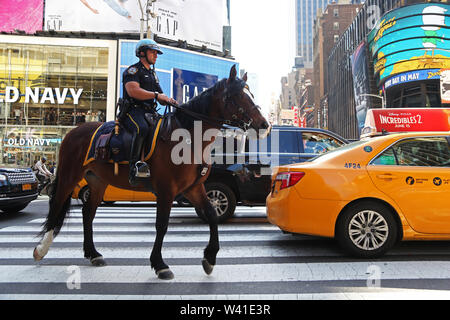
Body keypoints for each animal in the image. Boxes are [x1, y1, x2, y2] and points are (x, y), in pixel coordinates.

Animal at [33, 65, 270, 280]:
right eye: (237, 96)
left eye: (251, 94)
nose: (264, 125)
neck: (188, 138)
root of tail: (73, 130)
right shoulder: (166, 190)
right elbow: (162, 225)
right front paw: (159, 264)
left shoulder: (193, 187)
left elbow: (211, 214)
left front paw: (209, 258)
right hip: (69, 176)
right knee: (57, 206)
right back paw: (41, 249)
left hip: (98, 182)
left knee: (87, 214)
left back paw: (93, 254)